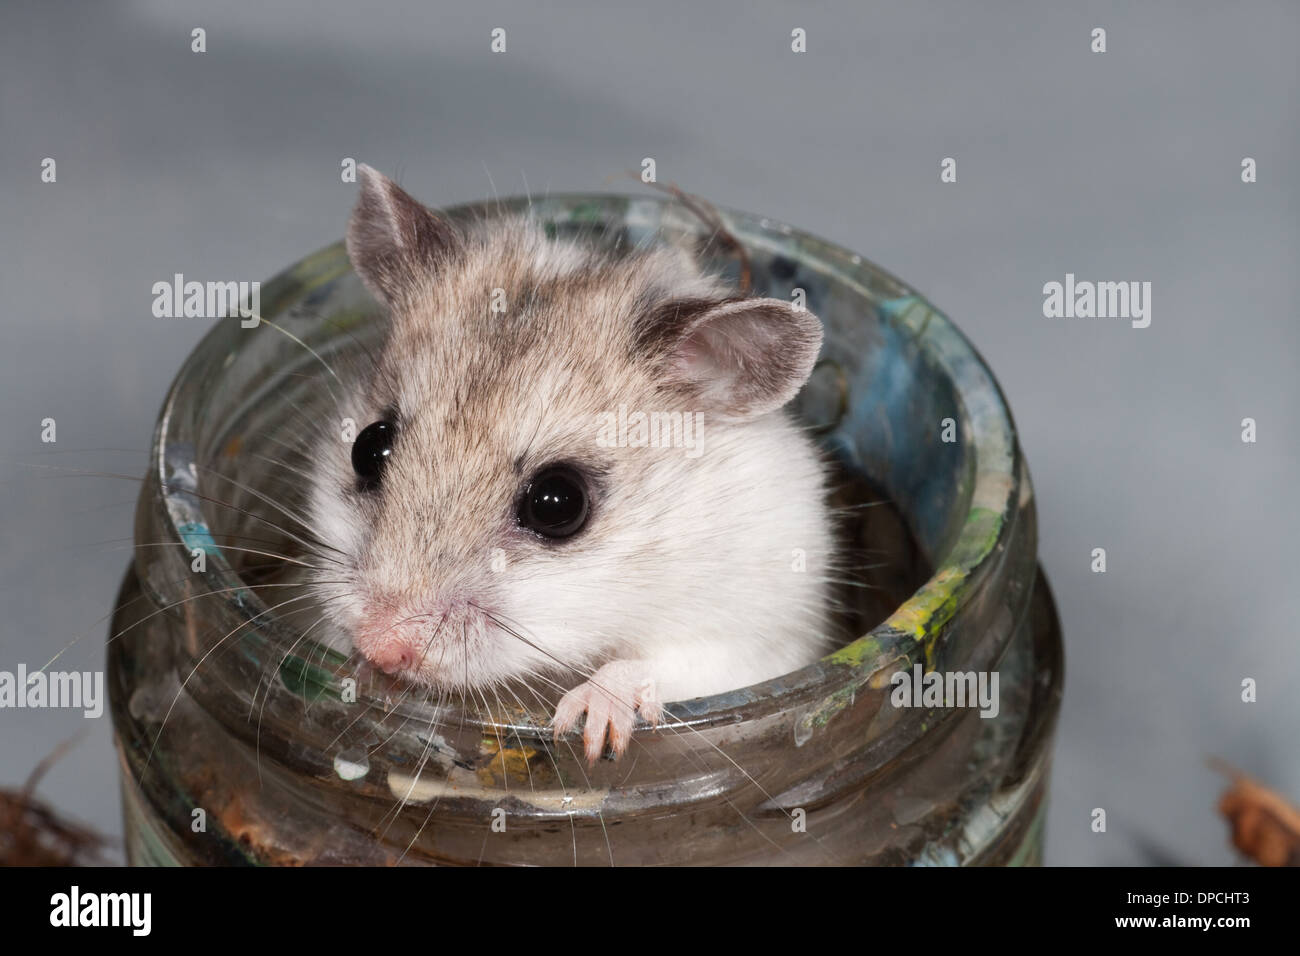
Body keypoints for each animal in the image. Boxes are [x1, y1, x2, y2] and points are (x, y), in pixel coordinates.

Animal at [304, 165, 835, 764]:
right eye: (367, 448)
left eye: (558, 503)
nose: (378, 647)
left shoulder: (753, 635)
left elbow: (652, 664)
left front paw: (588, 729)